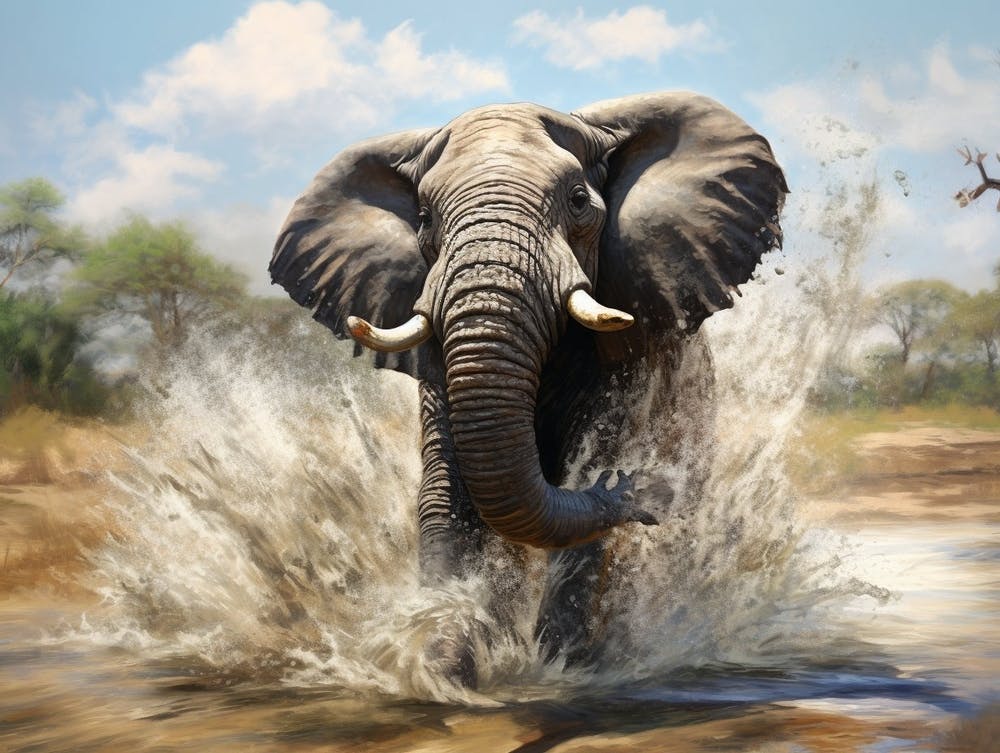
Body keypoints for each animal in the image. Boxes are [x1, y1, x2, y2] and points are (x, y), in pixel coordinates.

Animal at [269, 91, 787, 685]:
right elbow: (447, 496)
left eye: (579, 201)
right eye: (423, 219)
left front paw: (564, 667)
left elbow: (588, 473)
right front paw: (442, 664)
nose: (636, 490)